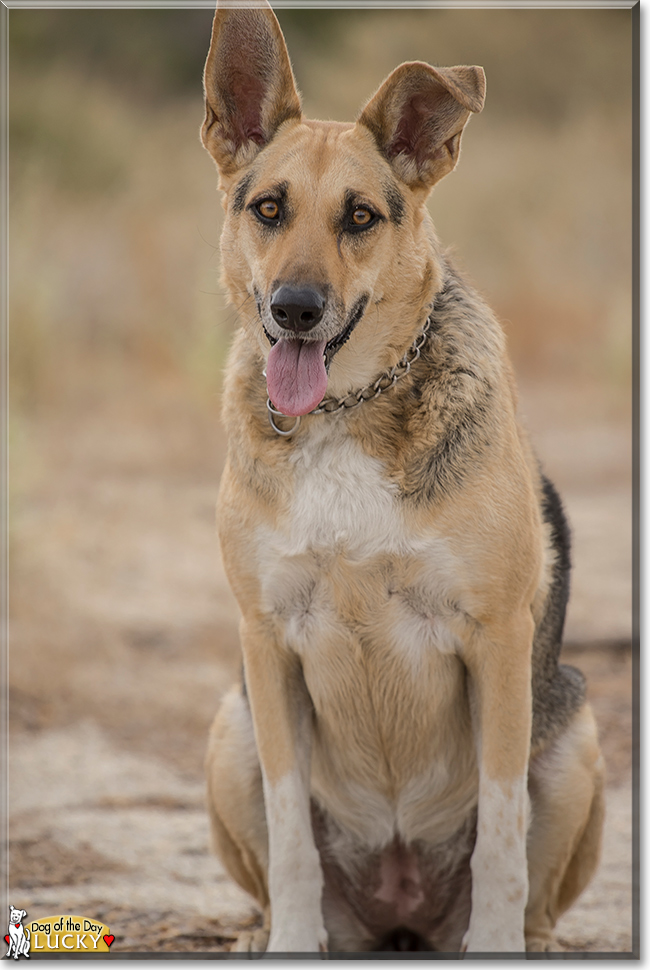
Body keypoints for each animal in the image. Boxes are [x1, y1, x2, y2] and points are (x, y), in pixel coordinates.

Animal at [201, 1, 604, 952]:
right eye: (268, 209)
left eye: (359, 217)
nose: (295, 310)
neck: (344, 414)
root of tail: (400, 905)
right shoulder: (265, 644)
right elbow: (290, 837)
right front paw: (290, 943)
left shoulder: (496, 640)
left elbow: (502, 834)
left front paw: (495, 945)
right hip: (229, 726)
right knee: (273, 875)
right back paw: (264, 934)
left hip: (578, 732)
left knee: (534, 890)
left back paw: (529, 942)